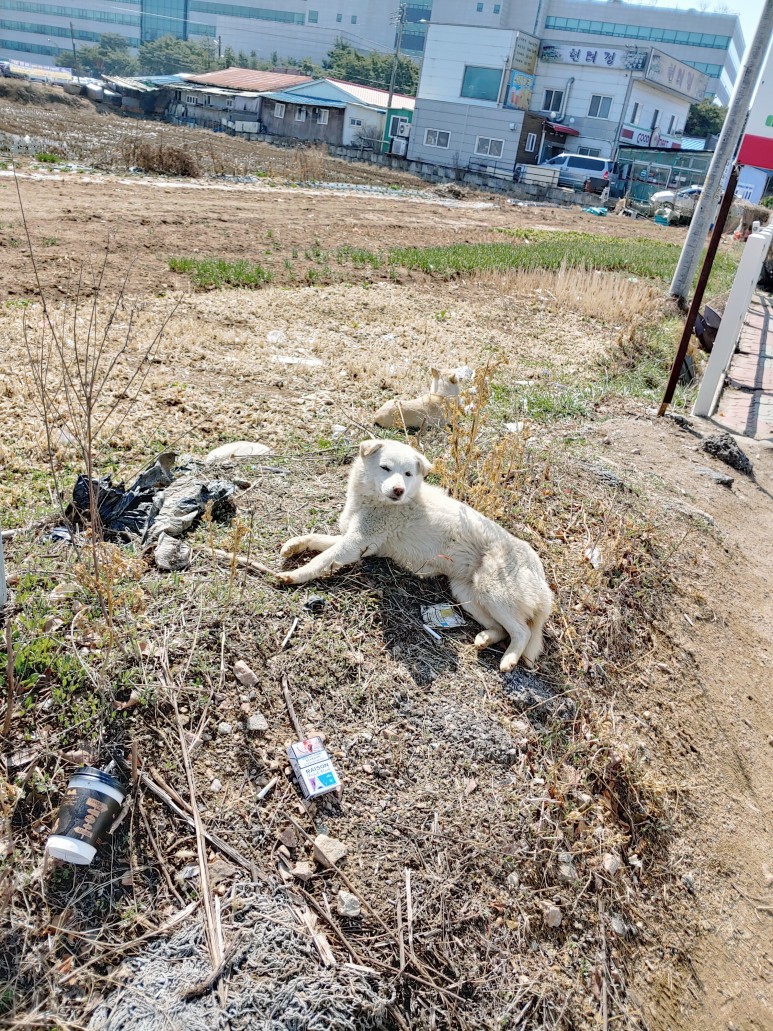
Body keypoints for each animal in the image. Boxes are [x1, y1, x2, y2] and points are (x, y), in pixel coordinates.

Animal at [276, 439, 552, 672]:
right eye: (385, 468)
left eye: (408, 474)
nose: (398, 489)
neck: (378, 503)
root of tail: (543, 581)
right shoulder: (358, 542)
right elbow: (316, 540)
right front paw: (294, 545)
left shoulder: (354, 544)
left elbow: (319, 560)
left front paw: (294, 575)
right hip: (466, 594)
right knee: (501, 630)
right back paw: (485, 639)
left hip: (492, 592)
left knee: (522, 632)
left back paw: (509, 660)